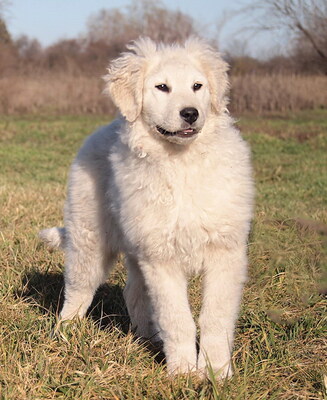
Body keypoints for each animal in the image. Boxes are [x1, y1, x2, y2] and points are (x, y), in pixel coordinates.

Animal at [40, 37, 254, 378]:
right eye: (162, 87)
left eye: (197, 86)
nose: (190, 113)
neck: (181, 162)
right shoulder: (161, 257)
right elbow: (178, 319)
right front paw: (184, 374)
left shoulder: (225, 251)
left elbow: (215, 318)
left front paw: (216, 372)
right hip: (90, 240)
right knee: (77, 288)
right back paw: (66, 333)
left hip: (136, 248)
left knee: (134, 293)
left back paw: (149, 337)